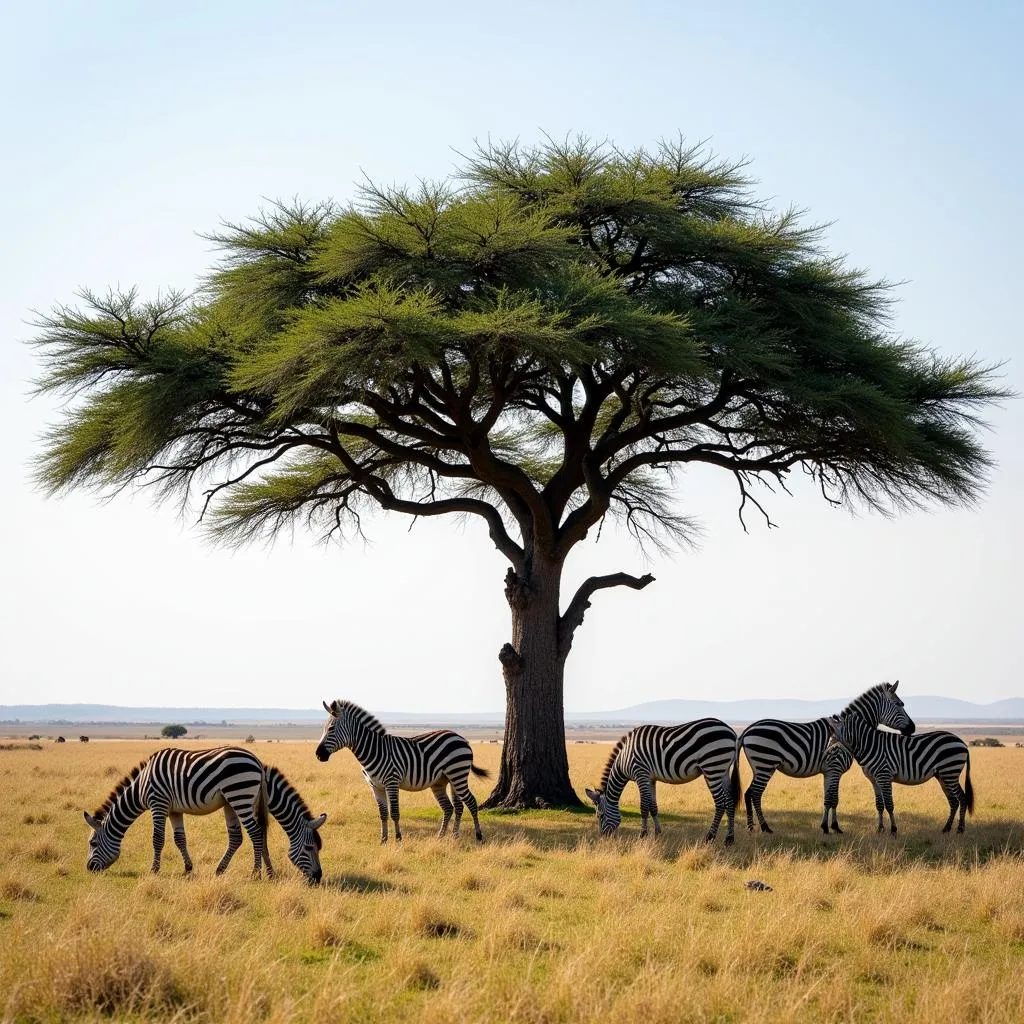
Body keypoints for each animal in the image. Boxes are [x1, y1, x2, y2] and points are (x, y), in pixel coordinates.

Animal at [82, 745, 276, 880]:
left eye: (93, 843)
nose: (89, 868)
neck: (141, 786)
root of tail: (256, 760)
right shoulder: (174, 811)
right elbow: (180, 839)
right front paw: (188, 869)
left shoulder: (158, 803)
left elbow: (158, 839)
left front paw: (154, 870)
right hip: (231, 801)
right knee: (238, 837)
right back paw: (225, 870)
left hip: (239, 795)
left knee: (256, 833)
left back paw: (255, 873)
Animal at [313, 700, 489, 843]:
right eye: (324, 728)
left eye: (331, 728)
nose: (318, 754)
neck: (374, 750)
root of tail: (461, 738)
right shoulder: (375, 787)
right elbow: (383, 813)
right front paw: (383, 840)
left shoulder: (392, 782)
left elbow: (395, 813)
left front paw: (398, 838)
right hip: (443, 781)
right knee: (453, 807)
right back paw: (448, 836)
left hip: (458, 774)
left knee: (471, 802)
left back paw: (478, 836)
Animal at [581, 716, 741, 843]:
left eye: (599, 816)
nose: (603, 838)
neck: (623, 760)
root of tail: (731, 732)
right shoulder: (651, 779)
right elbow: (653, 806)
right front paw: (658, 833)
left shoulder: (641, 774)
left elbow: (644, 806)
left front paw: (643, 835)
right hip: (723, 771)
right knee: (730, 802)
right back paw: (729, 839)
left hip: (712, 768)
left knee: (720, 803)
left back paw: (710, 837)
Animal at [823, 708, 974, 835]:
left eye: (832, 733)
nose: (826, 752)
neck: (869, 746)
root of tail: (962, 743)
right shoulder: (874, 780)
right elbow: (879, 805)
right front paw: (880, 829)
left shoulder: (884, 775)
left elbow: (889, 804)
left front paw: (893, 830)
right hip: (943, 776)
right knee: (954, 801)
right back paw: (947, 829)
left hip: (950, 772)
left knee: (962, 798)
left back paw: (960, 830)